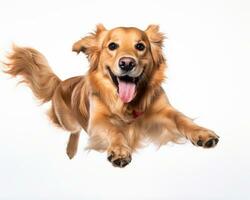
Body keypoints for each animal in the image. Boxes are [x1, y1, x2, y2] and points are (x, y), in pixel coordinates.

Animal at [3, 23, 219, 167]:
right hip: (67, 120)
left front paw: (202, 133)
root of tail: (61, 82)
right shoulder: (97, 121)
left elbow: (182, 119)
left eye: (140, 46)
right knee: (74, 130)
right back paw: (71, 149)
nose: (127, 63)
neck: (129, 105)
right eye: (112, 46)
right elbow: (114, 130)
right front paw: (119, 150)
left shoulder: (164, 110)